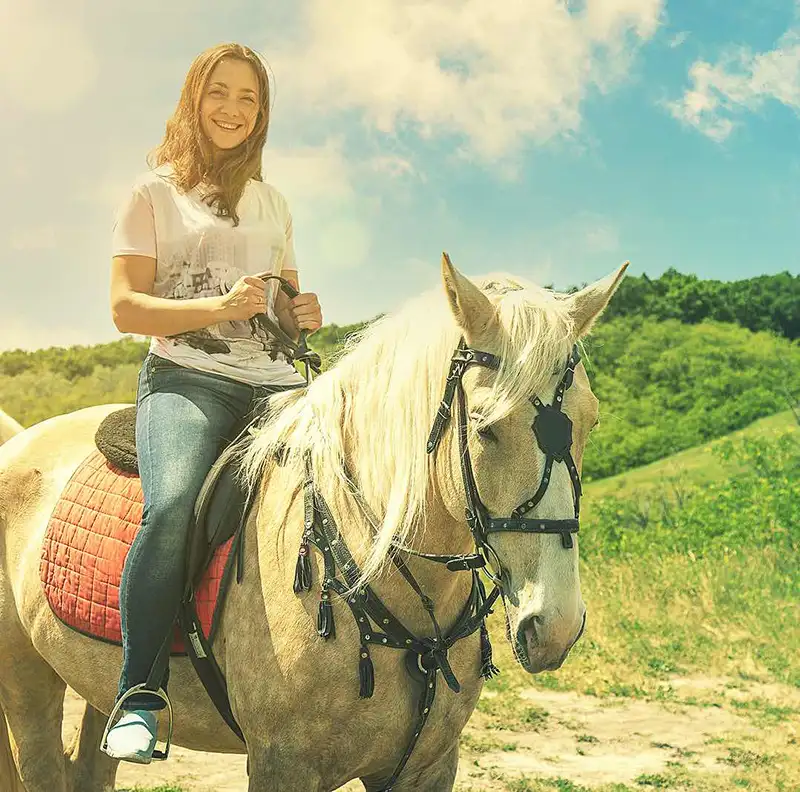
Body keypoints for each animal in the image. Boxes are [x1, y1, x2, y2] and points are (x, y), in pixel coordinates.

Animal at [0, 254, 627, 792]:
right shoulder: (284, 765)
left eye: (590, 422)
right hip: (26, 681)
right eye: (485, 427)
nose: (555, 628)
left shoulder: (428, 767)